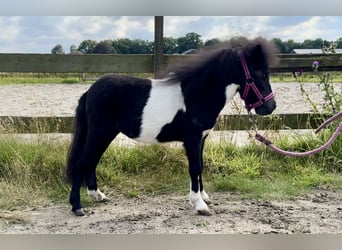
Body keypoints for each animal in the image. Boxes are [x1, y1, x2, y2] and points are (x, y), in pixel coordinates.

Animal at [66, 37, 278, 217]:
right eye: (259, 75)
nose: (270, 107)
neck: (197, 95)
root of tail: (90, 91)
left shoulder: (201, 139)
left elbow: (201, 166)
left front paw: (204, 197)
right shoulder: (192, 139)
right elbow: (194, 168)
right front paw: (200, 205)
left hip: (105, 134)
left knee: (92, 162)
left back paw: (98, 196)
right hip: (100, 132)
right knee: (82, 163)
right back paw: (77, 206)